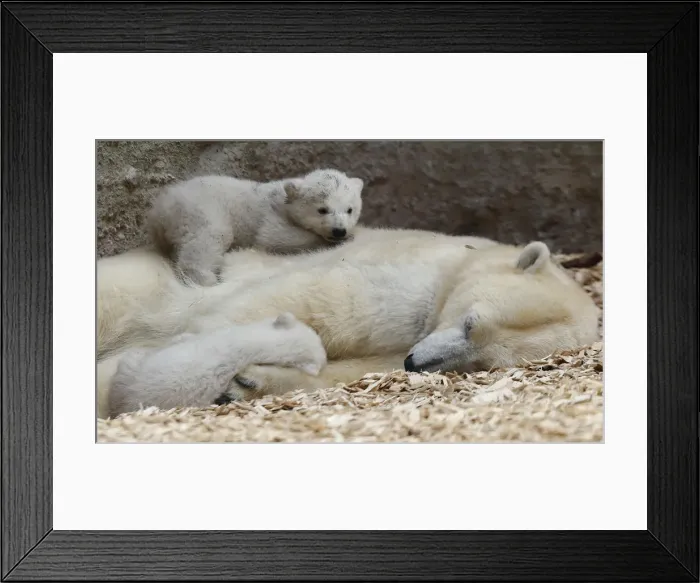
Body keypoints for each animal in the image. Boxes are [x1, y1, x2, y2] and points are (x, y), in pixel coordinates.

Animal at [145, 168, 364, 286]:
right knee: (209, 237)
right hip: (199, 209)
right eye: (322, 209)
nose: (339, 231)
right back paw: (206, 279)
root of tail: (160, 208)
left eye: (350, 209)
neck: (285, 197)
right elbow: (273, 237)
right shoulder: (272, 214)